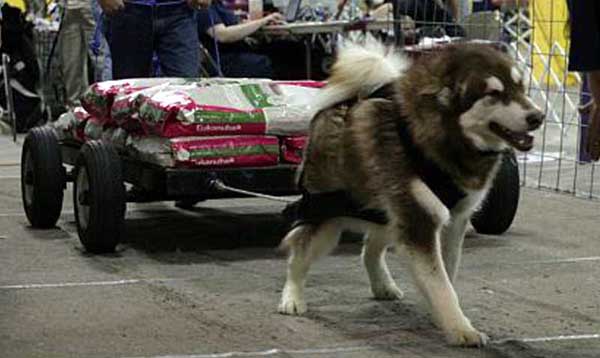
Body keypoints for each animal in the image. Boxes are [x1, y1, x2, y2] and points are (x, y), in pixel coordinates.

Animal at [276, 38, 544, 346]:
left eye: (521, 87)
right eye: (493, 93)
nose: (538, 116)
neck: (445, 138)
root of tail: (338, 105)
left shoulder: (453, 221)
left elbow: (446, 275)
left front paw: (441, 316)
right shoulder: (420, 223)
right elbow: (441, 285)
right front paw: (461, 328)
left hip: (387, 213)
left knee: (369, 249)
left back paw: (382, 284)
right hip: (326, 219)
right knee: (298, 253)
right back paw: (292, 297)